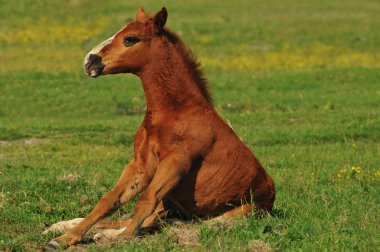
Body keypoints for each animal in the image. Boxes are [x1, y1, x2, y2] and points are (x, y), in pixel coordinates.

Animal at [46, 6, 274, 249]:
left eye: (130, 39)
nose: (89, 62)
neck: (173, 113)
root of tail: (271, 193)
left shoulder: (176, 163)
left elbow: (145, 200)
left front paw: (124, 238)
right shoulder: (141, 165)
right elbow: (110, 199)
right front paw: (64, 239)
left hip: (231, 212)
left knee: (183, 222)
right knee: (149, 220)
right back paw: (65, 226)